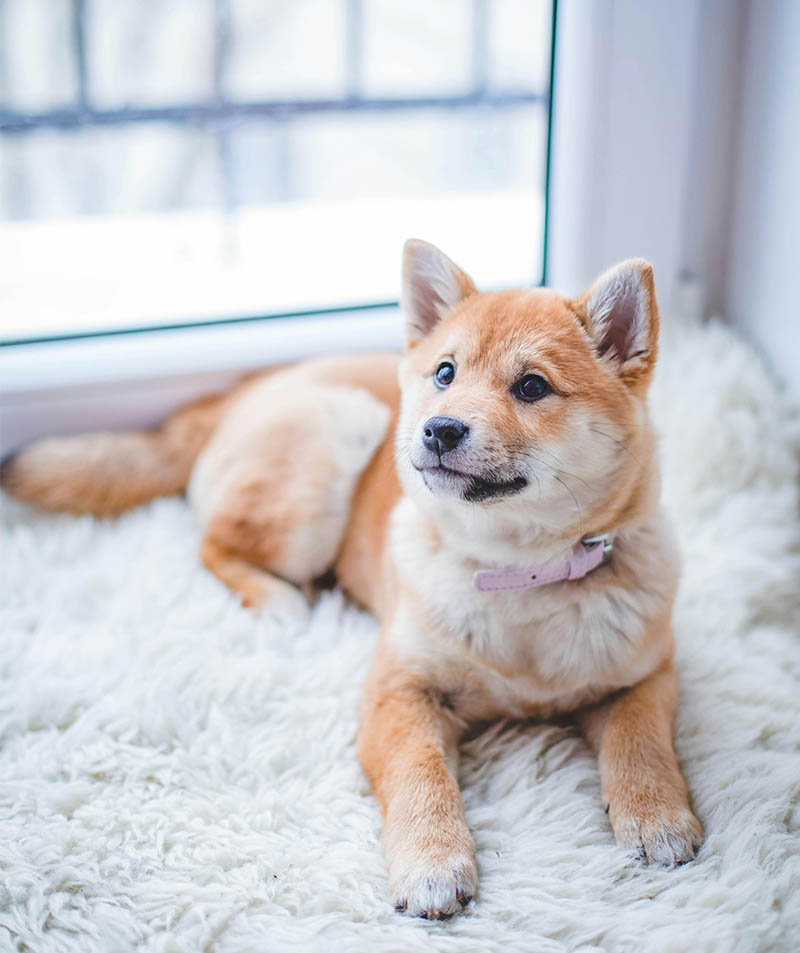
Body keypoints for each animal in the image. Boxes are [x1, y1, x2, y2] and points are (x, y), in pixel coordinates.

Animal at [0, 238, 700, 916]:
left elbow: (641, 741)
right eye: (445, 373)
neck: (517, 575)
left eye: (532, 387)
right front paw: (432, 862)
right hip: (327, 453)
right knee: (213, 544)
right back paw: (279, 598)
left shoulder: (646, 672)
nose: (439, 429)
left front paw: (656, 814)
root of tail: (243, 391)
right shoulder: (400, 689)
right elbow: (421, 774)